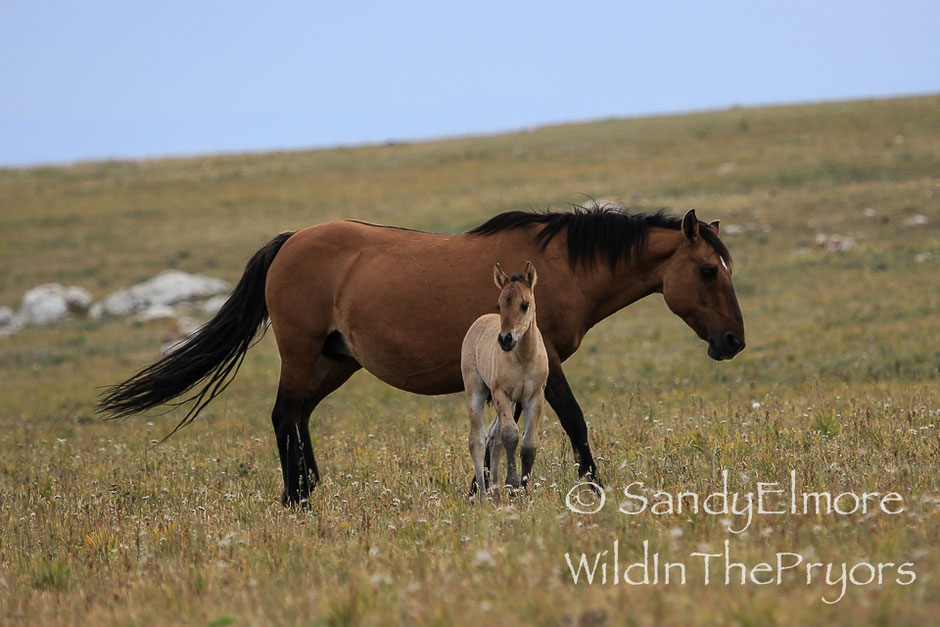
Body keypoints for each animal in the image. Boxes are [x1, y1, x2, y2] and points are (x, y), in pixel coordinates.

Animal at [458, 260, 548, 496]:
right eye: (499, 306)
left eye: (525, 304)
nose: (505, 339)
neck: (524, 357)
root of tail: (480, 320)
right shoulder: (502, 393)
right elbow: (510, 436)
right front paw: (513, 483)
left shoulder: (535, 396)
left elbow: (528, 444)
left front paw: (523, 491)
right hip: (476, 390)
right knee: (477, 439)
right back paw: (483, 493)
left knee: (493, 439)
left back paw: (495, 493)